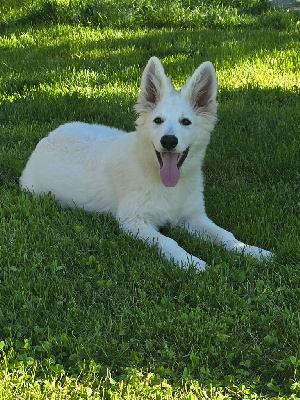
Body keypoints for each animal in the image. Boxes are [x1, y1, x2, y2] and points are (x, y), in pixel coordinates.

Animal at [19, 57, 272, 268]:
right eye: (158, 120)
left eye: (186, 122)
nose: (168, 141)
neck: (167, 185)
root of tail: (49, 136)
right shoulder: (134, 221)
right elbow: (168, 242)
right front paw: (190, 262)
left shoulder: (193, 217)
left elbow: (225, 235)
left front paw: (251, 251)